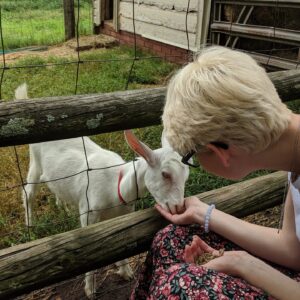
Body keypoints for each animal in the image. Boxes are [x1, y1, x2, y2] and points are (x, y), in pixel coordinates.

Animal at [16, 83, 189, 296]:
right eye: (165, 174)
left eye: (186, 175)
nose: (179, 207)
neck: (117, 186)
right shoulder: (89, 213)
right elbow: (88, 250)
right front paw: (90, 289)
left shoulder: (123, 215)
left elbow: (123, 240)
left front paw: (125, 271)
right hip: (35, 161)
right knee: (29, 192)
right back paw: (30, 225)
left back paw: (64, 208)